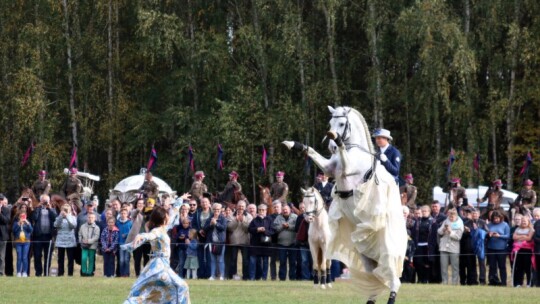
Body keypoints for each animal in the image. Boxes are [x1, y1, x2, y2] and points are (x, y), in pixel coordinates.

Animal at [282, 105, 404, 304]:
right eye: (330, 122)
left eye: (341, 123)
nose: (331, 147)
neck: (355, 151)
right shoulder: (329, 169)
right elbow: (313, 153)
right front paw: (292, 144)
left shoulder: (348, 169)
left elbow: (344, 157)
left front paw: (338, 142)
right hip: (366, 256)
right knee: (375, 279)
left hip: (387, 251)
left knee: (394, 280)